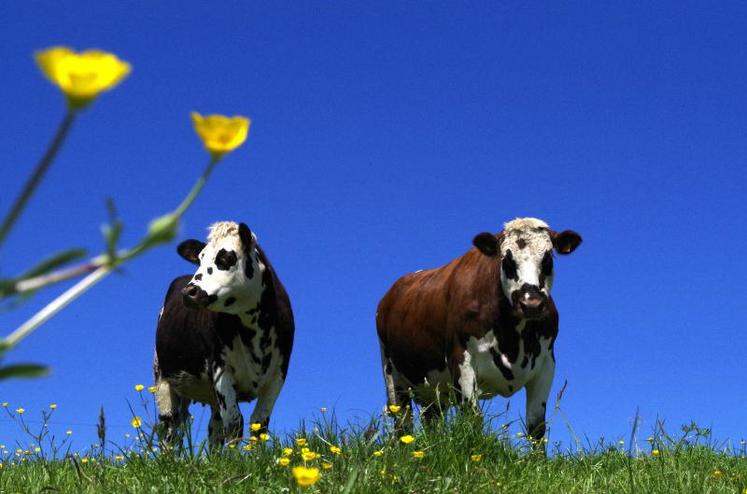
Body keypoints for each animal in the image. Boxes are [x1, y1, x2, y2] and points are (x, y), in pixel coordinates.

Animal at [153, 221, 294, 448]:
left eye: (226, 258)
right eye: (200, 259)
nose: (189, 293)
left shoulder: (279, 373)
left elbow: (259, 423)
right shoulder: (221, 368)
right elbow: (235, 421)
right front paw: (234, 456)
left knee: (214, 428)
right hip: (162, 377)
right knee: (170, 427)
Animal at [376, 218, 580, 446]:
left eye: (548, 259)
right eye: (506, 260)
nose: (531, 304)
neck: (512, 338)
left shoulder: (546, 365)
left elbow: (536, 428)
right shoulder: (461, 361)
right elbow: (472, 420)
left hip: (434, 390)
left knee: (431, 421)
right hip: (392, 377)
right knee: (402, 423)